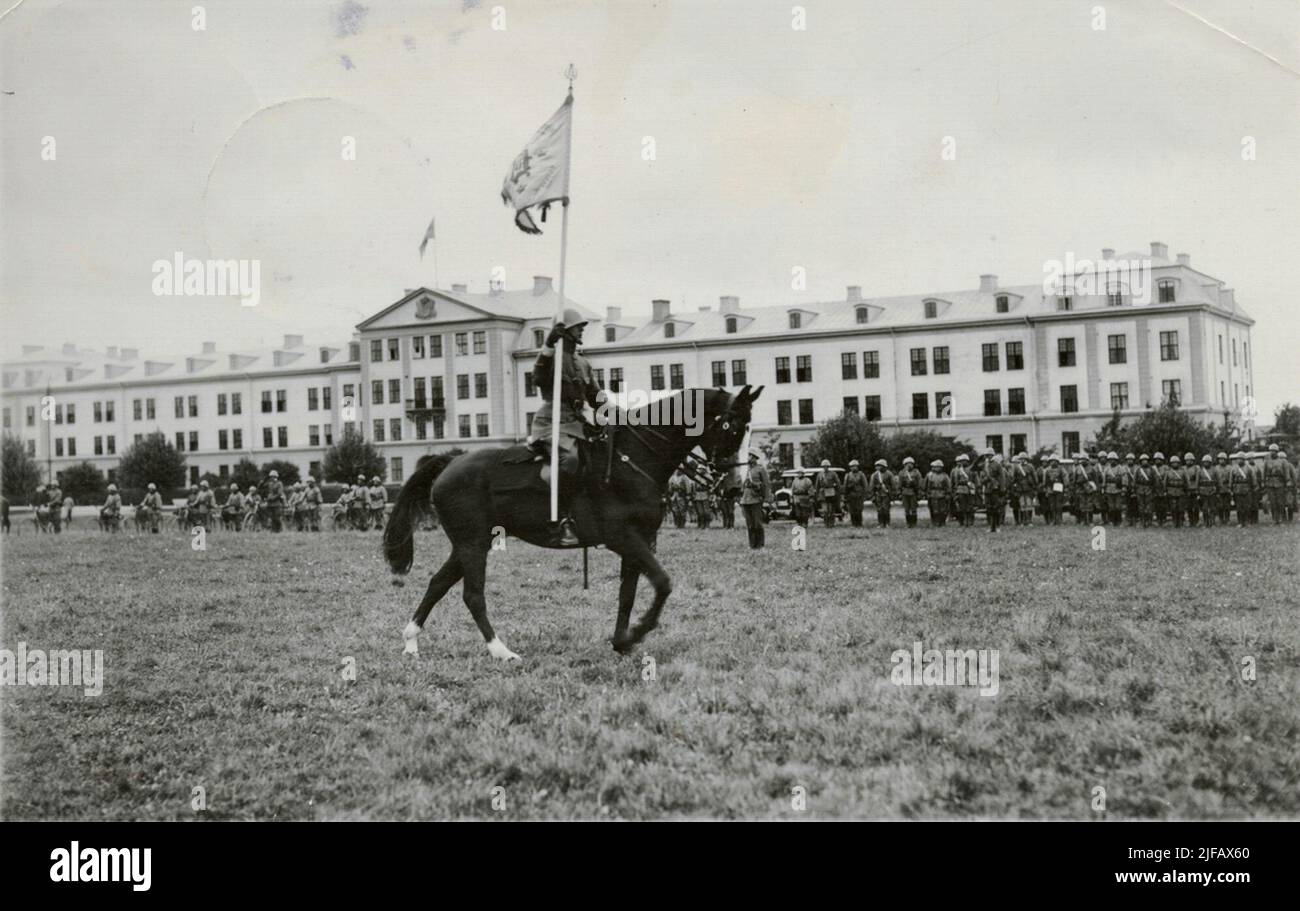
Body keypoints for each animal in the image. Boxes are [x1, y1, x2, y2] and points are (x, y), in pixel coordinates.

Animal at [379, 384, 759, 660]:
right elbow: (663, 583)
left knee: (438, 584)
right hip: (473, 545)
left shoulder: (639, 542)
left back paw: (411, 641)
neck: (634, 458)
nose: (735, 486)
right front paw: (637, 633)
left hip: (471, 543)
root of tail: (448, 462)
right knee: (472, 595)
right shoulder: (623, 538)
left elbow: (628, 594)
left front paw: (621, 640)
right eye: (732, 427)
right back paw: (501, 651)